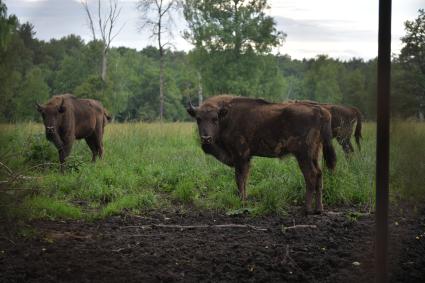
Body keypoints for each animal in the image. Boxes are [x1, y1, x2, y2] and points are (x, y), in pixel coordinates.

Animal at [187, 95, 336, 215]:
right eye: (198, 119)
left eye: (215, 119)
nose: (206, 138)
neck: (226, 117)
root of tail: (321, 111)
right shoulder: (246, 158)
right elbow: (245, 180)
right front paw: (245, 201)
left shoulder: (240, 156)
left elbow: (239, 179)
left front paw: (242, 203)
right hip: (314, 153)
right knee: (319, 174)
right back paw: (319, 209)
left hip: (303, 155)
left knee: (311, 175)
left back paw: (307, 209)